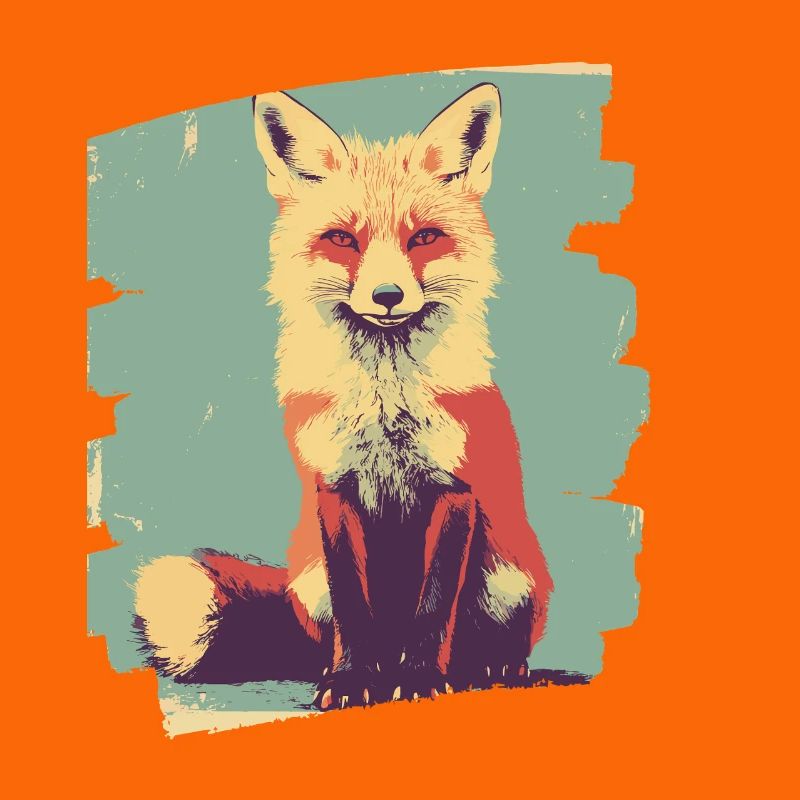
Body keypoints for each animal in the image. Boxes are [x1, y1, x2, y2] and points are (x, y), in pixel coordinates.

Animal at [134, 83, 554, 710]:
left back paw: (489, 666)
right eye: (342, 240)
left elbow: (435, 607)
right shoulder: (331, 487)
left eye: (423, 238)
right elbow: (353, 604)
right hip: (309, 582)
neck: (385, 405)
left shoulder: (456, 488)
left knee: (487, 634)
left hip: (510, 575)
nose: (387, 295)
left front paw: (421, 680)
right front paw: (351, 681)